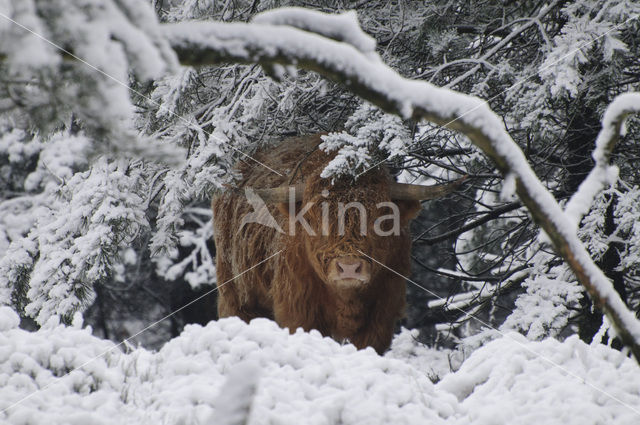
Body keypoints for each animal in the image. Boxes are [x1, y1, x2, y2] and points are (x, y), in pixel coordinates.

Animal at [212, 134, 462, 352]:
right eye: (315, 218)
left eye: (382, 218)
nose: (349, 267)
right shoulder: (298, 311)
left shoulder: (382, 315)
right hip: (236, 296)